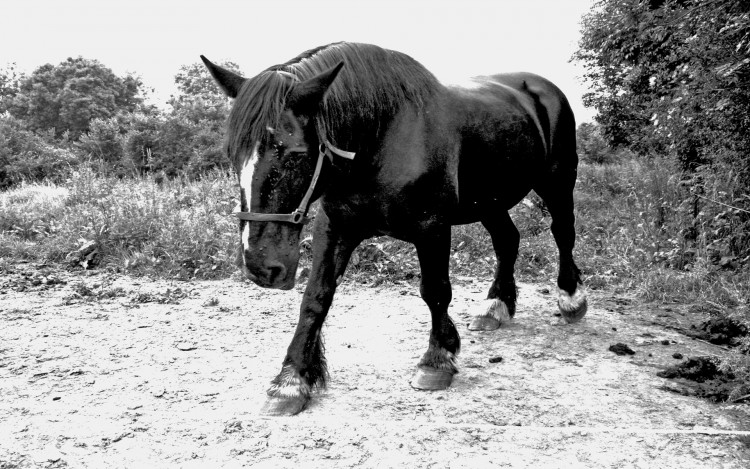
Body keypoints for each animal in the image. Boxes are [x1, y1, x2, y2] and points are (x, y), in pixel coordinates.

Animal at [203, 40, 592, 414]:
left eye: (296, 153)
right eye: (231, 153)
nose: (261, 267)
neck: (380, 137)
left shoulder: (432, 227)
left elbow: (435, 291)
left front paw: (436, 360)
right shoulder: (336, 227)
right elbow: (315, 298)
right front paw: (290, 381)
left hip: (557, 181)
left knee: (563, 233)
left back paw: (571, 298)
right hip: (490, 200)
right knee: (508, 240)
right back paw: (495, 306)